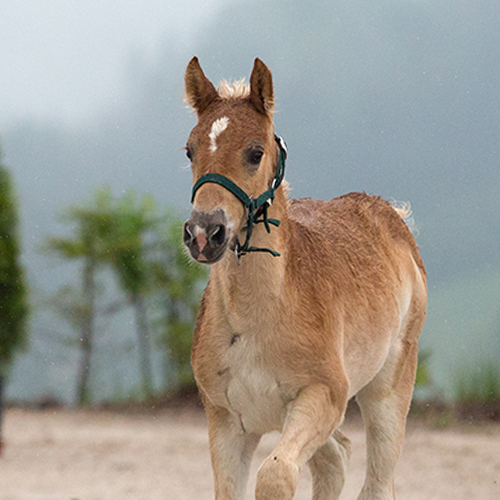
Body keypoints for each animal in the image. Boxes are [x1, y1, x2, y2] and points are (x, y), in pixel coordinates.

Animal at [183, 57, 426, 500]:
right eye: (190, 150)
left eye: (255, 152)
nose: (204, 233)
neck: (257, 318)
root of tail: (390, 214)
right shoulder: (226, 421)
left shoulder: (323, 397)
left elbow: (276, 476)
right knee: (337, 458)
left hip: (388, 387)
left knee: (377, 480)